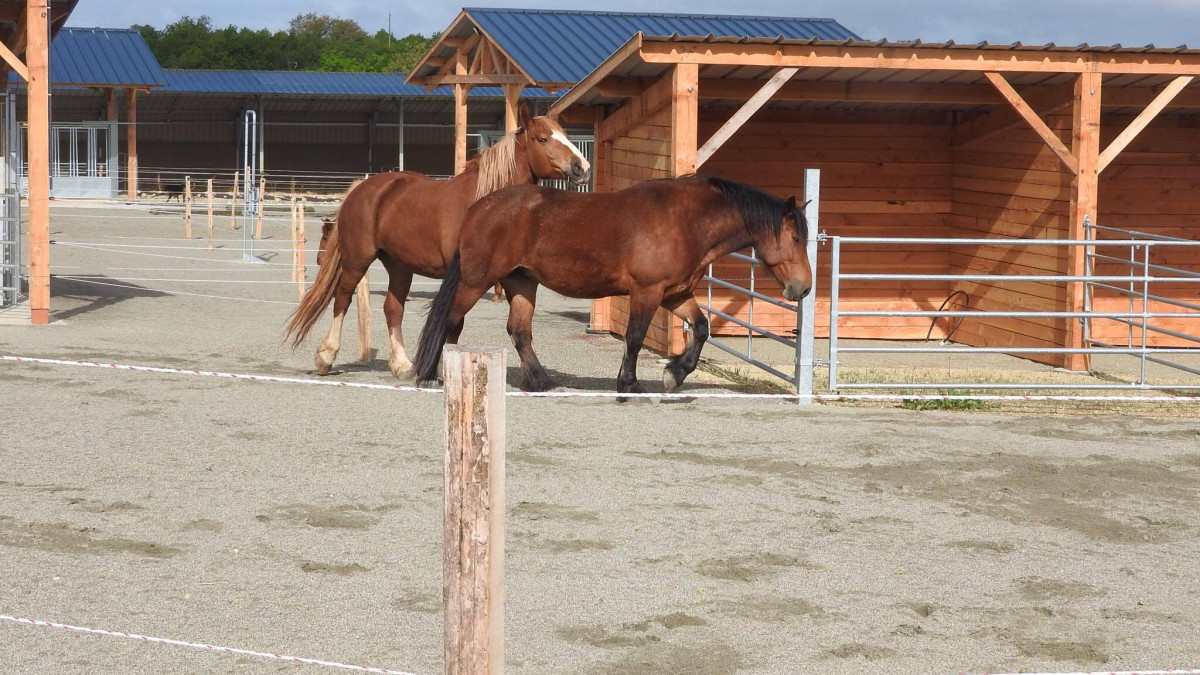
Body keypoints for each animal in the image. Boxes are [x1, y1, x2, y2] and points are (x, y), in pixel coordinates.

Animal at [286, 106, 595, 379]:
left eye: (565, 134)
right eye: (542, 139)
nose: (582, 167)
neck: (483, 202)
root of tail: (363, 187)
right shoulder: (462, 276)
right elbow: (455, 321)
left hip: (399, 266)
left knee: (392, 309)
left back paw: (402, 365)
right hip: (357, 260)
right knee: (342, 299)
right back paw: (326, 357)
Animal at [412, 174, 816, 393]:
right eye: (796, 238)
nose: (804, 288)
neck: (685, 221)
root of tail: (479, 208)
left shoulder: (675, 294)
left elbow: (701, 329)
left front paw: (675, 374)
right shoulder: (647, 291)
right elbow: (635, 338)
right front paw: (629, 384)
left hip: (522, 283)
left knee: (519, 331)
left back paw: (543, 382)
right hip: (476, 280)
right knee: (452, 321)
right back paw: (434, 375)